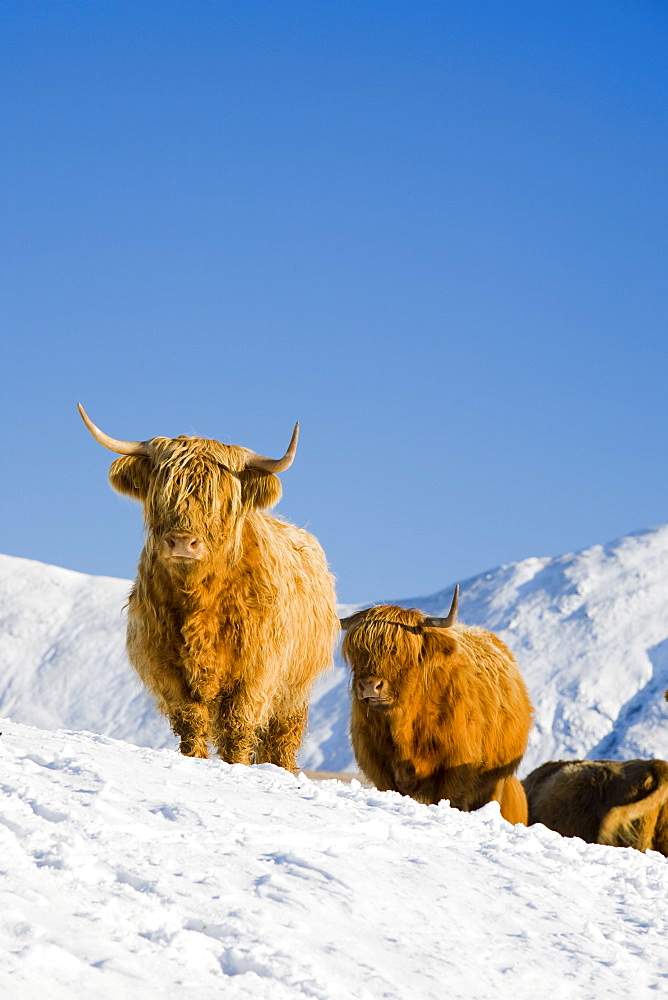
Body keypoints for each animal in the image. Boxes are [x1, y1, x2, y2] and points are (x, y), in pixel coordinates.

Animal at [79, 402, 340, 768]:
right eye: (165, 490)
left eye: (217, 497)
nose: (181, 542)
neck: (198, 599)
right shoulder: (167, 667)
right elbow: (191, 721)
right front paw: (195, 759)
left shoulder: (256, 671)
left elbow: (237, 727)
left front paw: (235, 767)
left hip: (295, 686)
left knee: (282, 737)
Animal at [340, 584, 532, 824]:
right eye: (357, 651)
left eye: (399, 650)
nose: (369, 685)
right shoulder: (377, 765)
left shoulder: (456, 769)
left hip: (494, 782)